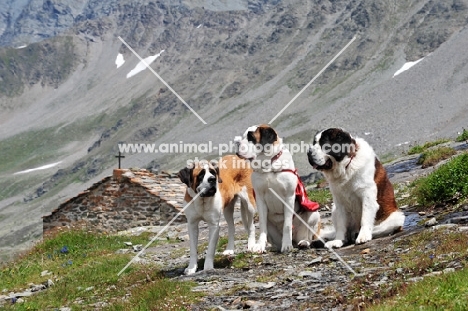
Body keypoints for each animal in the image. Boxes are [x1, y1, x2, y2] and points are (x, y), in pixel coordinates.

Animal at [234, 124, 322, 254]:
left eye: (251, 137)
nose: (237, 144)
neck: (269, 165)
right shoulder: (260, 198)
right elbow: (262, 226)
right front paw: (260, 246)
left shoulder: (289, 197)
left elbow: (287, 224)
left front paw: (287, 245)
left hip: (314, 213)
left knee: (308, 235)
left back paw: (303, 242)